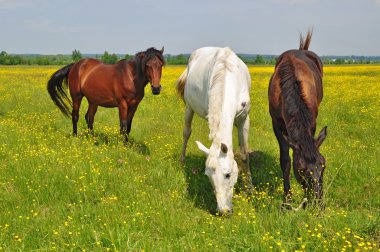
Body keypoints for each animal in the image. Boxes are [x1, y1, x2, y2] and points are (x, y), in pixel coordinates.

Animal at [177, 46, 254, 214]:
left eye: (227, 175)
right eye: (207, 175)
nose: (223, 211)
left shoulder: (244, 119)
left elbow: (244, 154)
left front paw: (249, 188)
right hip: (189, 107)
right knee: (186, 132)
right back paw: (182, 160)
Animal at [268, 31, 328, 209]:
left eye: (323, 165)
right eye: (301, 170)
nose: (318, 202)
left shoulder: (312, 122)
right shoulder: (276, 124)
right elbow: (286, 160)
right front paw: (287, 201)